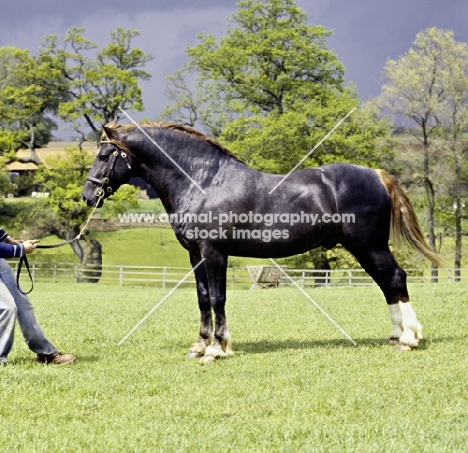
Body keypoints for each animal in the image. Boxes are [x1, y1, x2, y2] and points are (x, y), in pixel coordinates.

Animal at [82, 121, 440, 364]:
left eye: (104, 154)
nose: (87, 195)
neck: (203, 182)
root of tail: (377, 174)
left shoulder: (214, 253)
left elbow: (218, 298)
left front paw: (217, 348)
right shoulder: (195, 255)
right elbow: (202, 299)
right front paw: (199, 345)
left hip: (370, 246)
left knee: (395, 278)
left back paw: (410, 337)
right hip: (365, 249)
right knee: (386, 283)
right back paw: (396, 335)